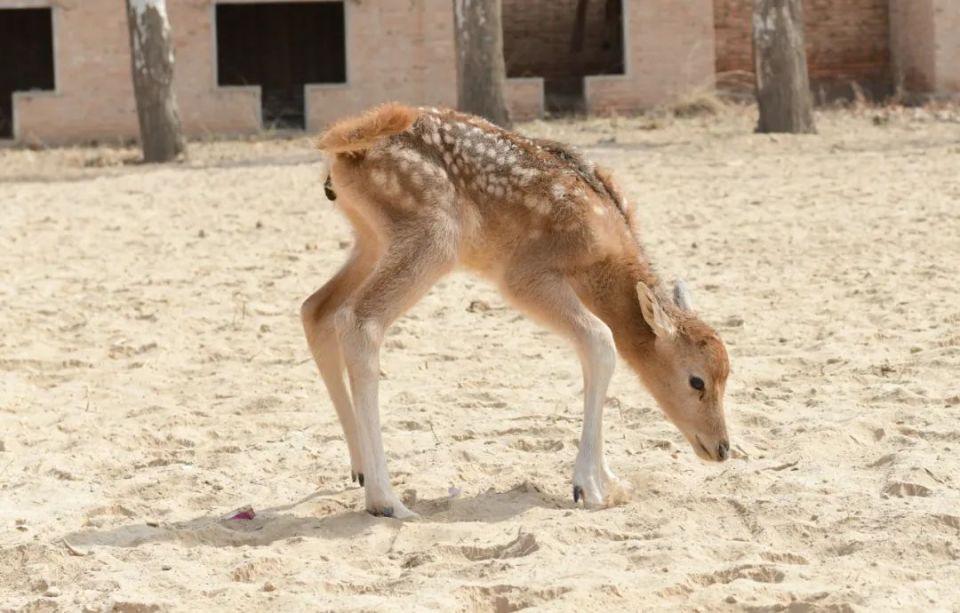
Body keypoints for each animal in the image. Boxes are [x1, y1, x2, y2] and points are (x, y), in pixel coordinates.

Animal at [302, 103, 731, 519]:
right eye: (697, 381)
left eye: (727, 375)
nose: (723, 448)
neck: (603, 256)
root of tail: (343, 148)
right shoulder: (524, 275)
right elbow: (600, 340)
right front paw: (589, 487)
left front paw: (612, 482)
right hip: (435, 236)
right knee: (359, 321)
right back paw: (386, 500)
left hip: (372, 238)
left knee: (316, 308)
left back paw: (360, 470)